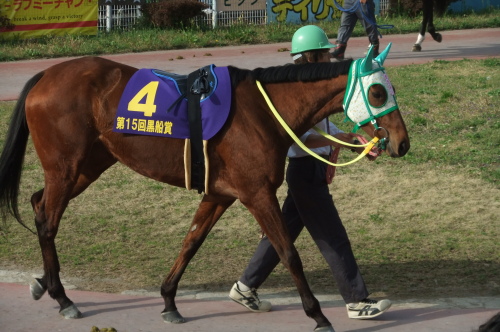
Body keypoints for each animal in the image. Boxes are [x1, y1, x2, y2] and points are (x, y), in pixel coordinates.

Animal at [0, 46, 410, 332]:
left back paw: (45, 282)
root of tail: (46, 75)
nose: (402, 143)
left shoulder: (220, 194)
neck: (263, 111)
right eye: (377, 92)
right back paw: (63, 297)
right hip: (66, 167)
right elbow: (288, 252)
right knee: (48, 221)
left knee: (39, 205)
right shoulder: (256, 193)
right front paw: (318, 315)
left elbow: (191, 242)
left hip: (89, 165)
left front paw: (169, 301)